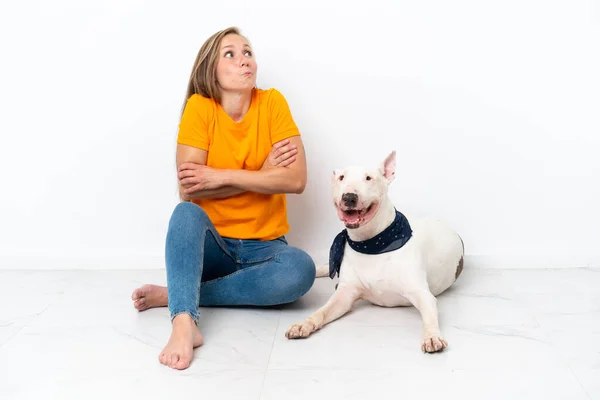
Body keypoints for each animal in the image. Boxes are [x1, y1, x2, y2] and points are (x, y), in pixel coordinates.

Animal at [286, 151, 464, 354]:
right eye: (342, 177)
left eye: (368, 178)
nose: (349, 197)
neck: (372, 244)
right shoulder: (345, 293)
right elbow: (321, 311)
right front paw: (303, 324)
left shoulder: (421, 293)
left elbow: (429, 316)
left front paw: (432, 337)